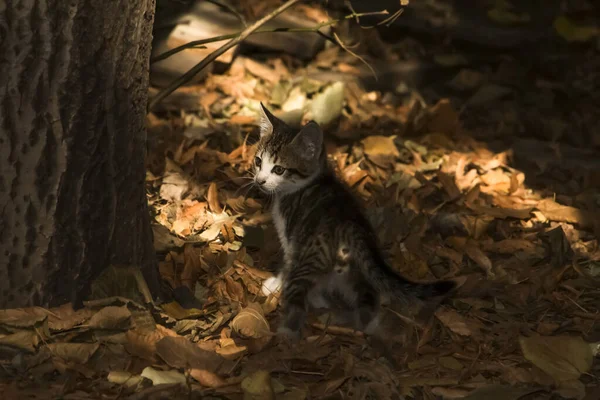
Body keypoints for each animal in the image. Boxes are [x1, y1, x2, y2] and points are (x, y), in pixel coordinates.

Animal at [253, 104, 454, 340]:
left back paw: (287, 332)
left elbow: (287, 262)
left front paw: (276, 283)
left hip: (312, 255)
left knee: (298, 300)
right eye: (258, 161)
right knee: (368, 299)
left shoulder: (292, 238)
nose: (259, 181)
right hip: (358, 267)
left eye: (279, 169)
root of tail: (349, 223)